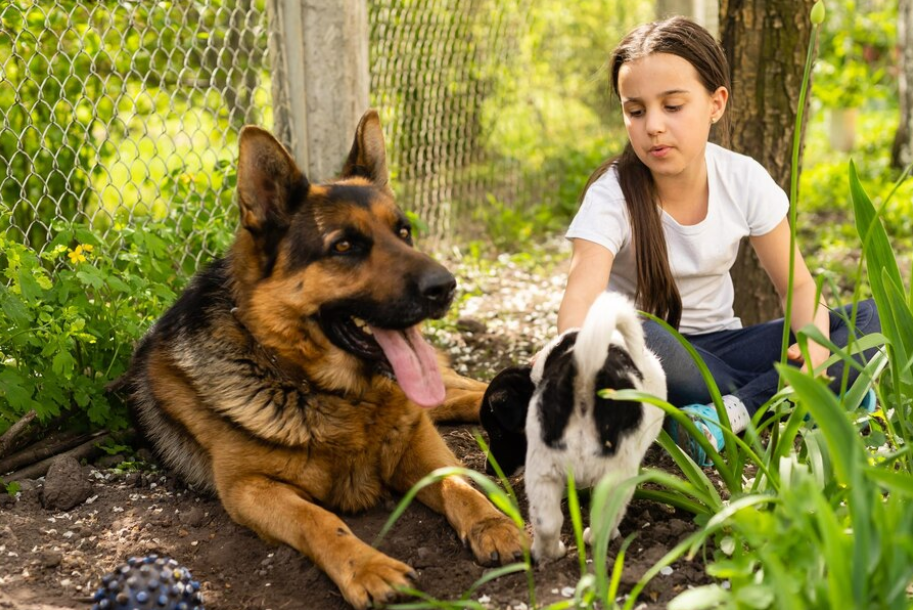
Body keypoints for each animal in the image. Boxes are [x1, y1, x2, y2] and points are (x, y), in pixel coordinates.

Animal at [124, 110, 524, 608]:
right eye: (344, 247)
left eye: (404, 232)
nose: (446, 286)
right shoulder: (248, 489)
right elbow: (319, 521)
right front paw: (368, 567)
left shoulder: (418, 443)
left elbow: (459, 484)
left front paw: (495, 523)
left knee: (476, 390)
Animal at [480, 292, 668, 560]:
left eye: (496, 432)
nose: (488, 469)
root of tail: (584, 377)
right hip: (617, 477)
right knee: (604, 520)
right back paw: (597, 539)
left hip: (542, 470)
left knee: (547, 523)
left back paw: (549, 553)